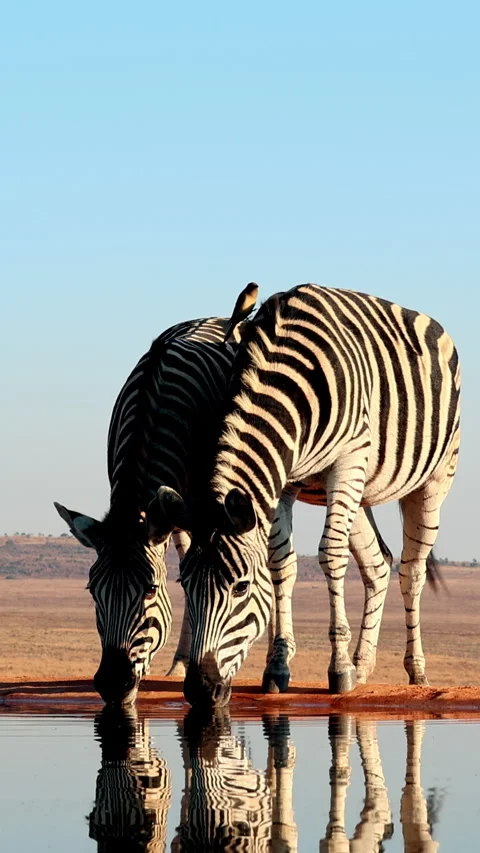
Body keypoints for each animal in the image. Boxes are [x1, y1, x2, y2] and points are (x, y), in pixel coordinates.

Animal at [156, 283, 460, 706]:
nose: (201, 690)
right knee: (378, 564)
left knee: (412, 571)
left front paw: (339, 669)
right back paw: (364, 666)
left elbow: (330, 554)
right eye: (184, 585)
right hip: (359, 491)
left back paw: (415, 670)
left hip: (431, 480)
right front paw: (278, 666)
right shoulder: (283, 478)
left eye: (240, 587)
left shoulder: (348, 460)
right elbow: (281, 564)